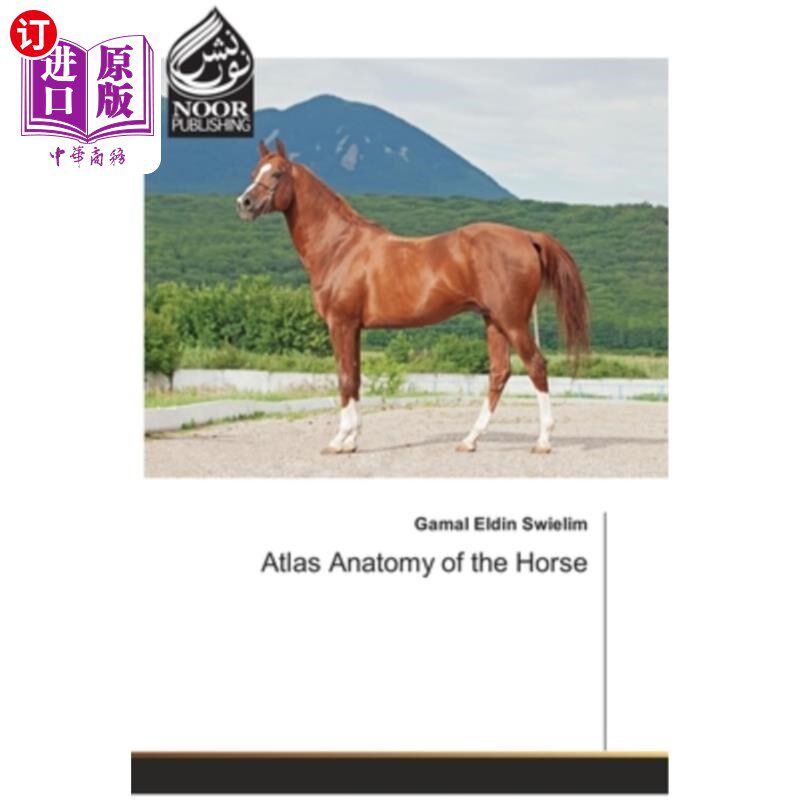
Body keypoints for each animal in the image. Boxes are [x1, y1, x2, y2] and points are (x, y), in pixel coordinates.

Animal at [236, 138, 590, 455]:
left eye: (277, 174)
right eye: (254, 170)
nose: (244, 203)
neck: (339, 247)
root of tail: (528, 237)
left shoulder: (341, 324)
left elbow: (345, 378)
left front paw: (339, 441)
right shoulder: (354, 328)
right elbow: (356, 377)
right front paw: (352, 441)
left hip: (512, 321)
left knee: (536, 366)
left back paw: (542, 441)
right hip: (494, 322)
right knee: (499, 373)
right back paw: (469, 440)